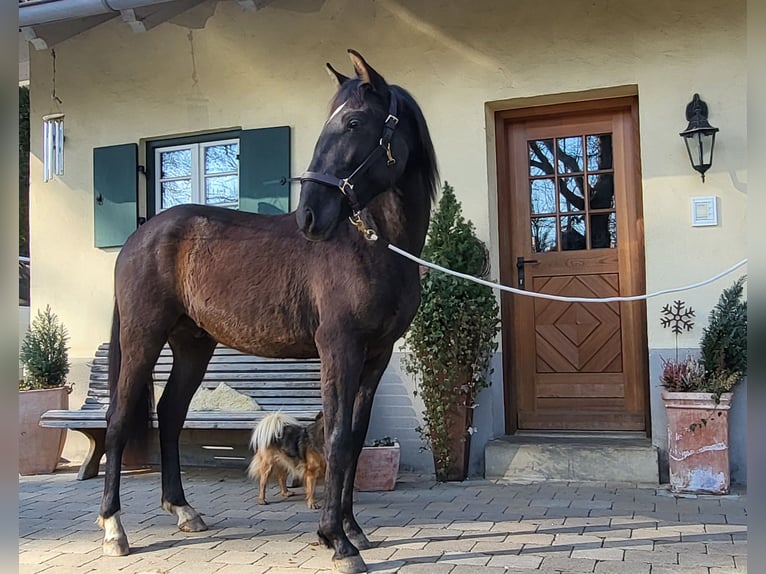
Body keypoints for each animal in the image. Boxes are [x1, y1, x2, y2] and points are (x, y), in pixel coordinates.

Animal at [97, 50, 438, 574]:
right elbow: (337, 438)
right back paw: (115, 529)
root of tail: (140, 235)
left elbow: (356, 437)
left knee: (170, 413)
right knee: (118, 419)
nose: (310, 217)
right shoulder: (339, 348)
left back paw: (184, 510)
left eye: (354, 122)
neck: (371, 247)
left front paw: (353, 529)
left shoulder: (376, 355)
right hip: (142, 338)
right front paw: (337, 541)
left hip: (193, 344)